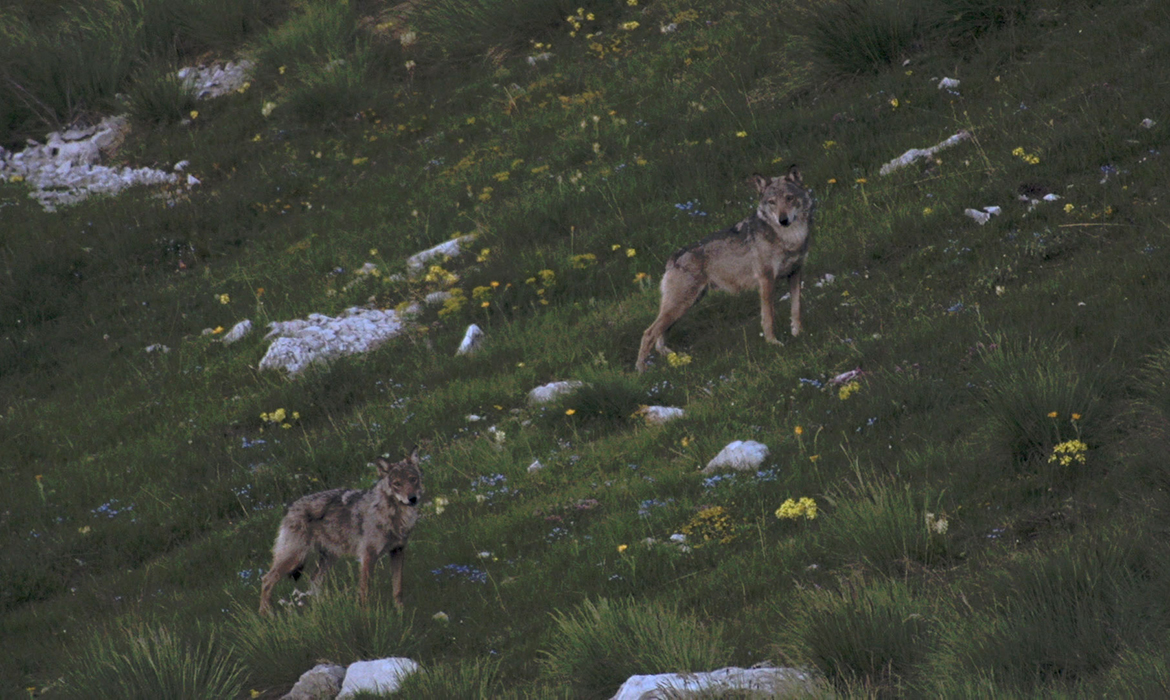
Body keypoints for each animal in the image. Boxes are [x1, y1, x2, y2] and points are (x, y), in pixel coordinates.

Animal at [258, 449, 423, 613]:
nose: (412, 498)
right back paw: (266, 615)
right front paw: (366, 614)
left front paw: (400, 612)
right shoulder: (368, 556)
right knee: (266, 580)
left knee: (314, 580)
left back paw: (322, 608)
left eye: (413, 479)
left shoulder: (397, 551)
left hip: (328, 558)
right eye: (397, 484)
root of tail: (290, 508)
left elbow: (398, 588)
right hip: (295, 558)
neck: (394, 515)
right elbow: (365, 590)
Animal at [641, 168, 814, 376]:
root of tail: (674, 257)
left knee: (659, 335)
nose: (783, 220)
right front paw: (773, 343)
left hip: (685, 305)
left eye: (789, 198)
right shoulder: (766, 280)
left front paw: (799, 333)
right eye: (772, 202)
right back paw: (641, 372)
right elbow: (768, 317)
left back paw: (672, 357)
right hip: (681, 305)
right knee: (648, 333)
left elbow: (796, 309)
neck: (790, 238)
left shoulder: (795, 274)